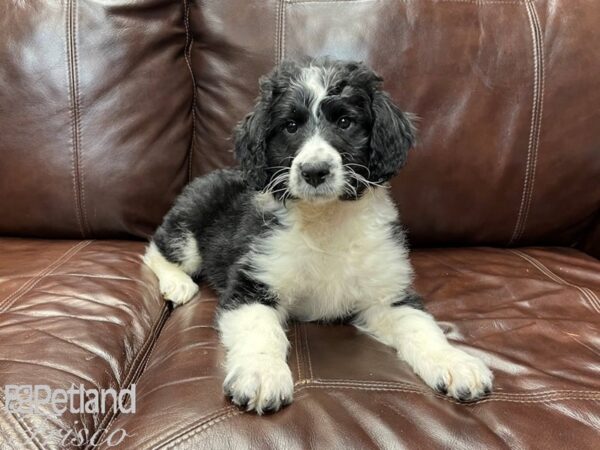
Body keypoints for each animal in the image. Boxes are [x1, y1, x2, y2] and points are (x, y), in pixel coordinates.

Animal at [144, 58, 492, 414]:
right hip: (189, 228)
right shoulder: (253, 281)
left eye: (345, 122)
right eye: (290, 126)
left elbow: (420, 325)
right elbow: (260, 330)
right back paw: (178, 283)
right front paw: (262, 372)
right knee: (156, 250)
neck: (326, 219)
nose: (314, 172)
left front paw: (454, 362)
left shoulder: (387, 294)